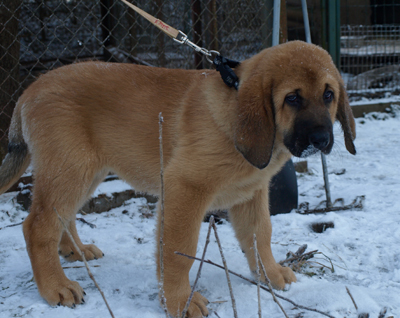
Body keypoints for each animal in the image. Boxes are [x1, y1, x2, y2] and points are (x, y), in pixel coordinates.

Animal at [0, 41, 356, 316]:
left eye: (328, 95)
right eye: (292, 98)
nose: (322, 139)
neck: (233, 115)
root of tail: (29, 91)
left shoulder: (250, 194)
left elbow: (260, 235)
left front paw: (270, 274)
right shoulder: (184, 188)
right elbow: (178, 249)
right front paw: (179, 301)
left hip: (86, 171)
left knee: (64, 214)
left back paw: (75, 249)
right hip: (71, 168)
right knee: (38, 225)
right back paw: (55, 287)